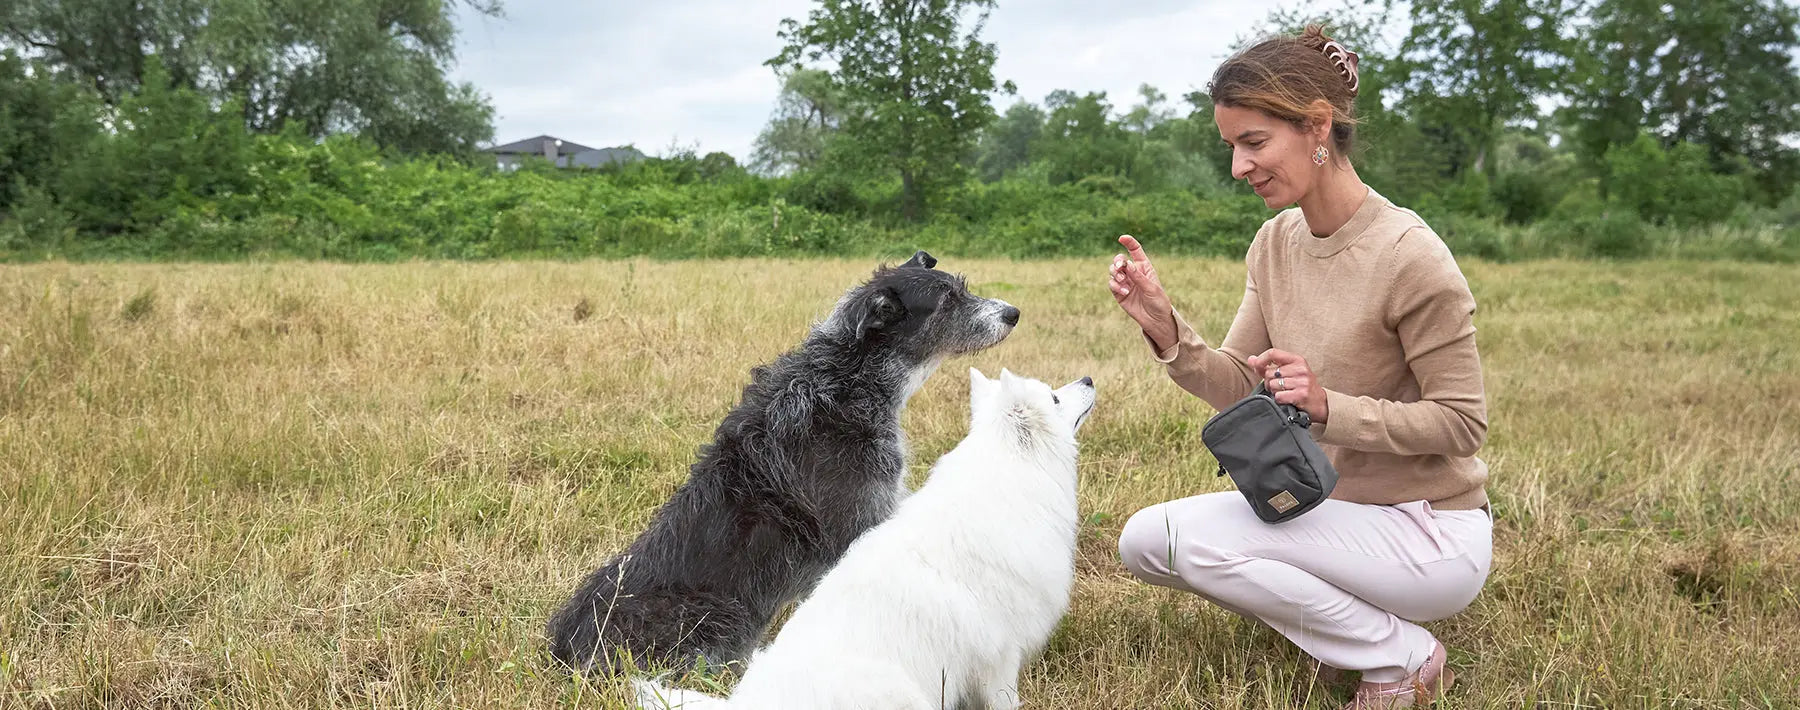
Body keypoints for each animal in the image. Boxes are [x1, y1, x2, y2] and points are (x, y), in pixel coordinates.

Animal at [540, 250, 1022, 677]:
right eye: (947, 301)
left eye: (962, 288)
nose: (1013, 313)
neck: (848, 379)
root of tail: (562, 653)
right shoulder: (860, 521)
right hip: (723, 616)